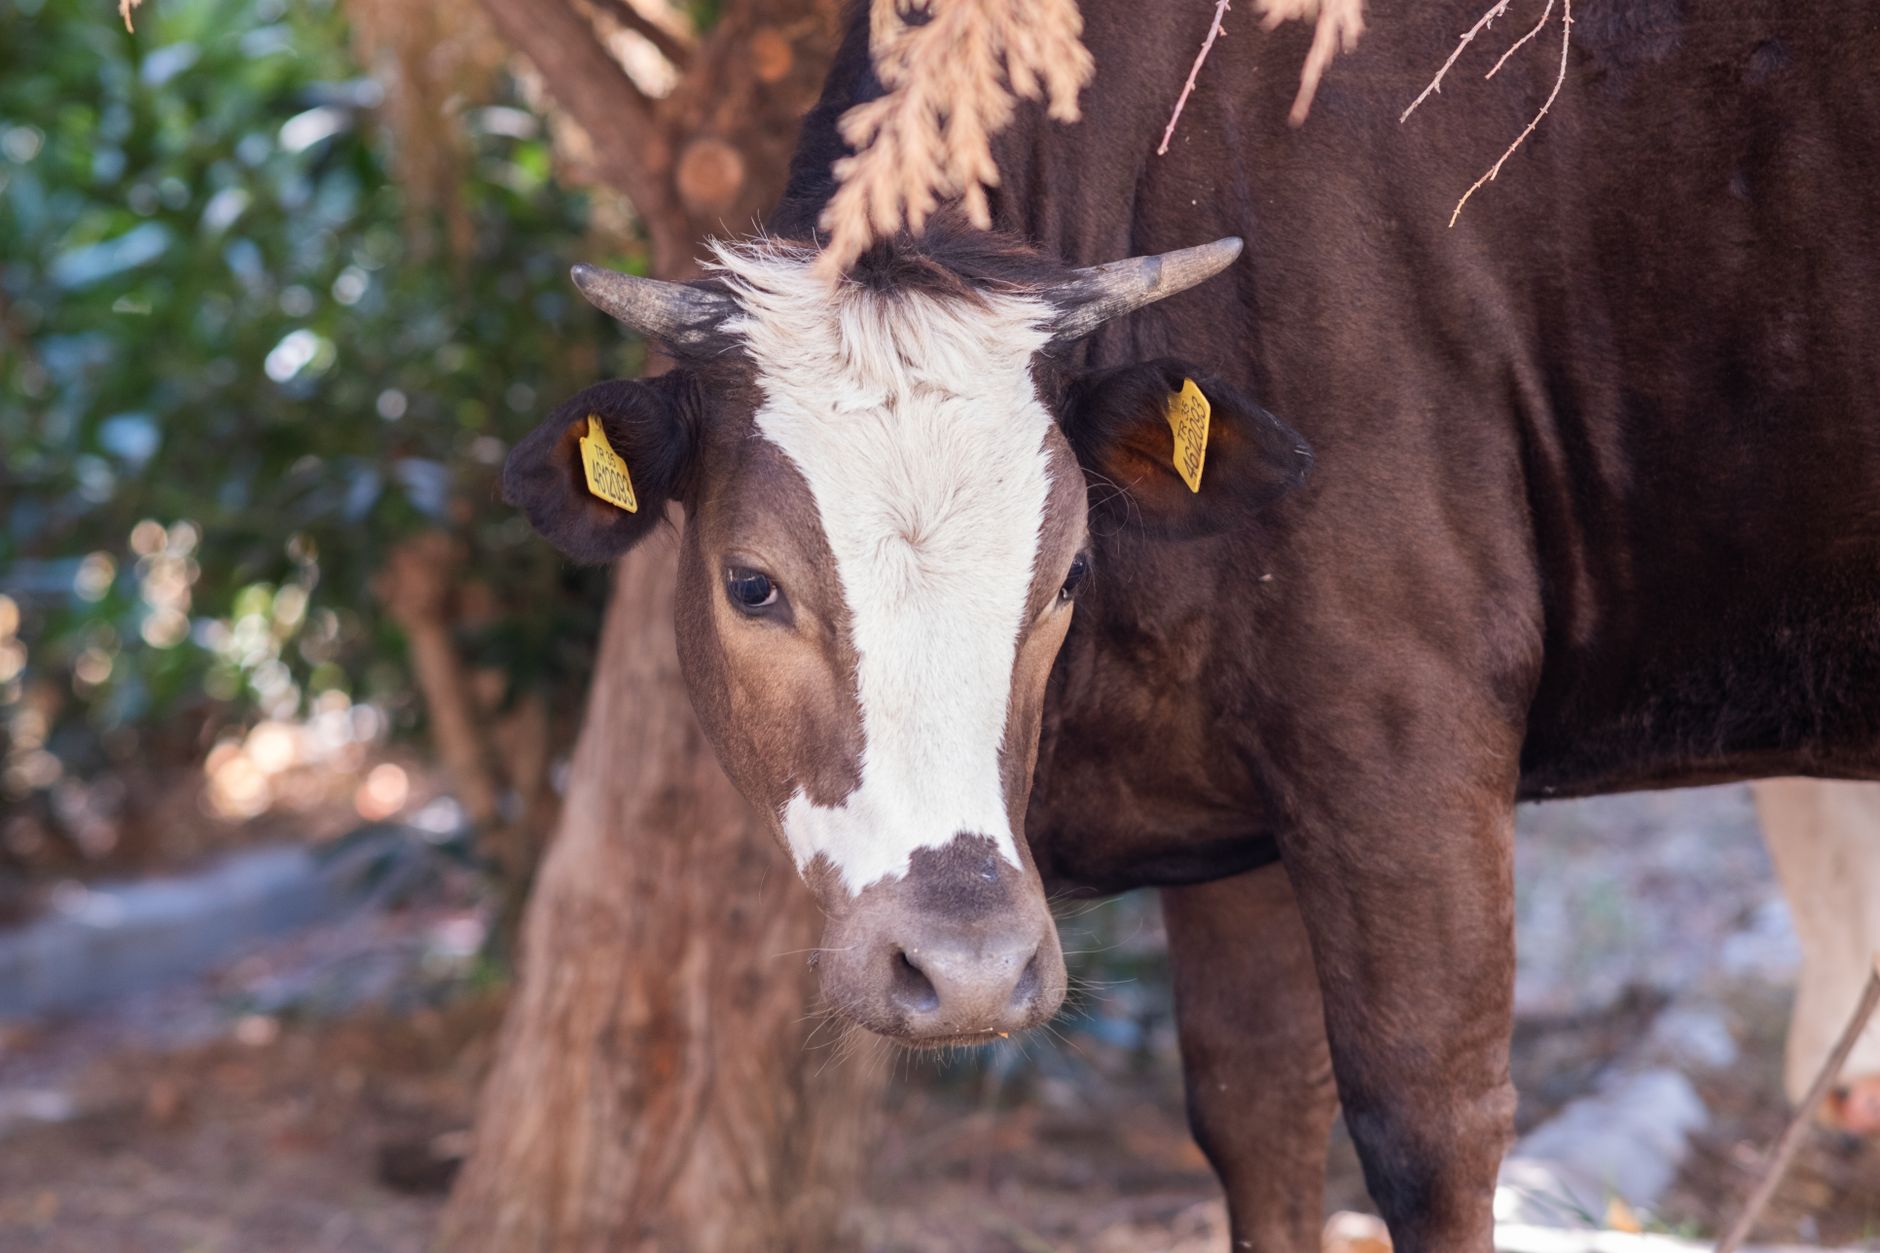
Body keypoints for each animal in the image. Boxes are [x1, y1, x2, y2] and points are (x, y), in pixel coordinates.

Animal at [500, 0, 1880, 1247]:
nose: (964, 969)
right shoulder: (1235, 808)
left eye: (1067, 572)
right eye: (751, 584)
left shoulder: (1406, 741)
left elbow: (1426, 1125)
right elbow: (1255, 1111)